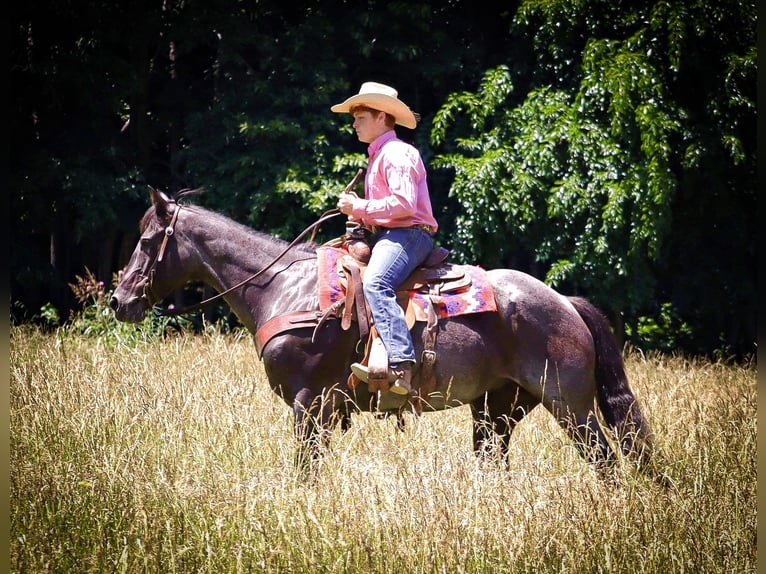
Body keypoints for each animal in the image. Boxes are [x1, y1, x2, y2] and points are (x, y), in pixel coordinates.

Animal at [111, 187, 656, 480]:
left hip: (571, 406)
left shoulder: (308, 402)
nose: (119, 300)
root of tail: (565, 303)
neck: (284, 288)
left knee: (606, 462)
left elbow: (305, 469)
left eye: (147, 240)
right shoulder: (325, 410)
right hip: (496, 410)